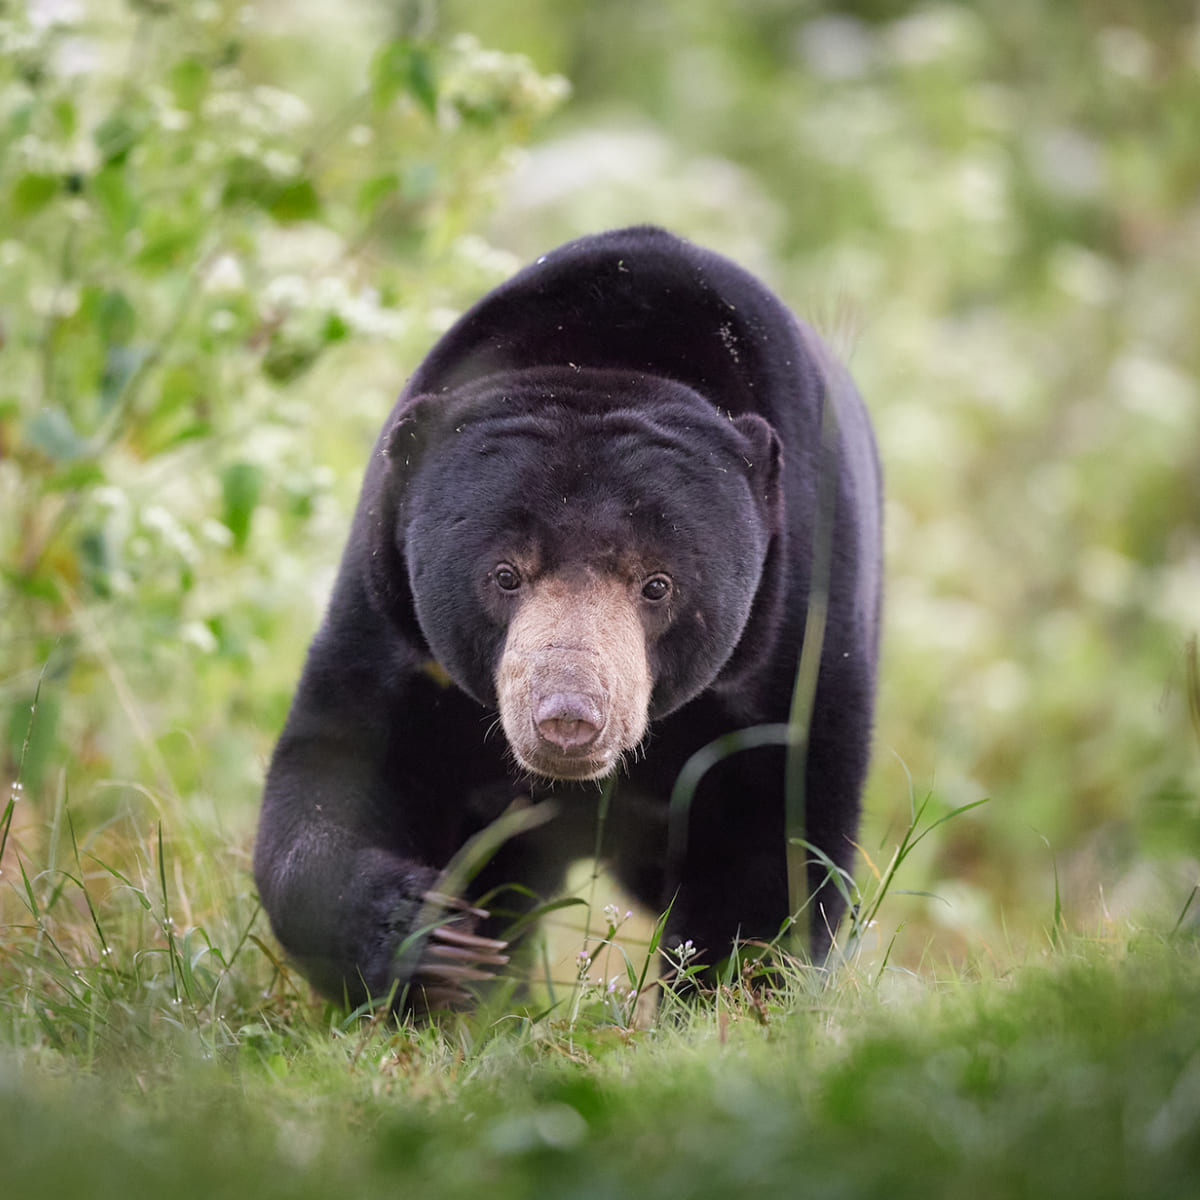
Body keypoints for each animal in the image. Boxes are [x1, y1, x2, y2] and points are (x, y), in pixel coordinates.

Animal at [253, 226, 883, 1012]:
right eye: (505, 574)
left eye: (657, 584)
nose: (568, 719)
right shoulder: (391, 620)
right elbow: (335, 772)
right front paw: (434, 944)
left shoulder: (796, 630)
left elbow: (778, 832)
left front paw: (728, 998)